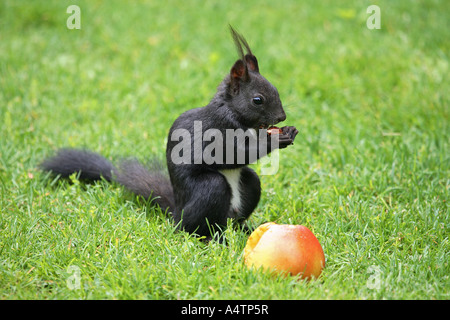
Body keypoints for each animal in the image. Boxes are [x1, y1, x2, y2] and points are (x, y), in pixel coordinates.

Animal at [40, 26, 298, 238]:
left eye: (276, 89)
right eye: (257, 100)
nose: (281, 117)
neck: (233, 112)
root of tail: (177, 212)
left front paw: (288, 130)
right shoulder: (215, 131)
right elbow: (233, 153)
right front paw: (277, 140)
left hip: (248, 186)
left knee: (238, 208)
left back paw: (244, 229)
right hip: (208, 191)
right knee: (196, 225)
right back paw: (212, 238)